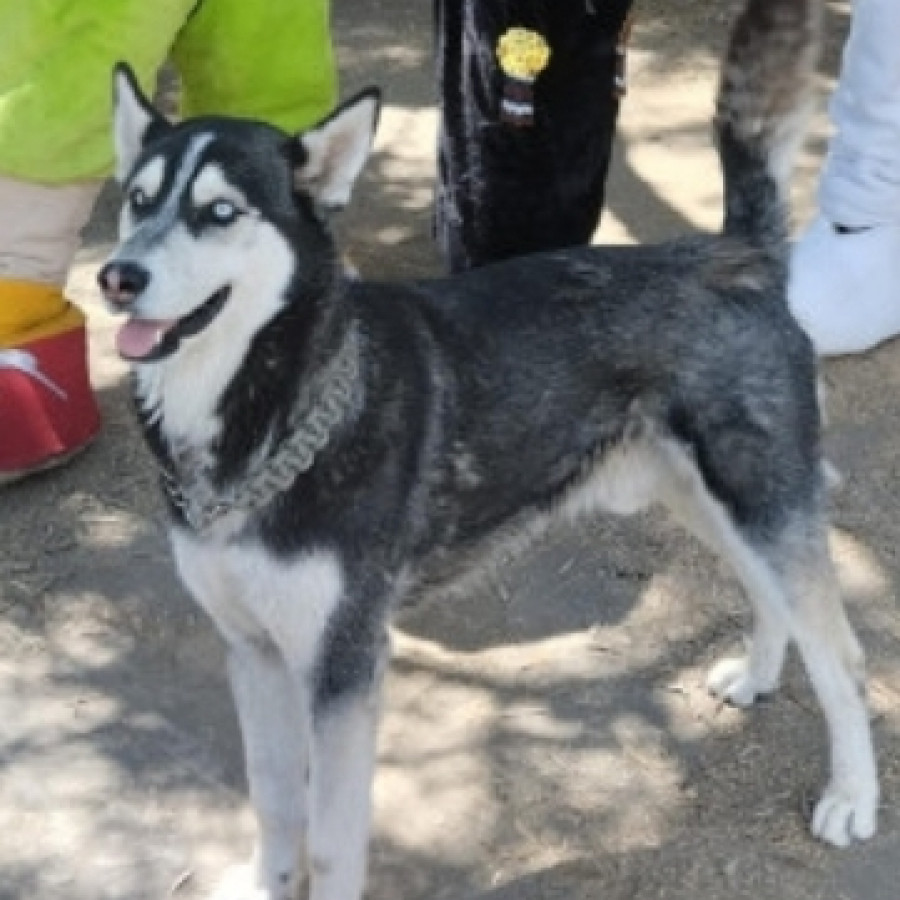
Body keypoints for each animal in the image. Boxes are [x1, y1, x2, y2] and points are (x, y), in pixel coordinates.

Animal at [100, 1, 880, 900]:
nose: (115, 278)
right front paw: (266, 882)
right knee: (772, 600)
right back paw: (757, 676)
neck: (267, 408)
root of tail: (737, 251)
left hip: (762, 504)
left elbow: (330, 841)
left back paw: (853, 797)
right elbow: (271, 802)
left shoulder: (343, 669)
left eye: (221, 212)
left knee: (842, 655)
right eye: (138, 200)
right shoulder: (252, 651)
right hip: (713, 504)